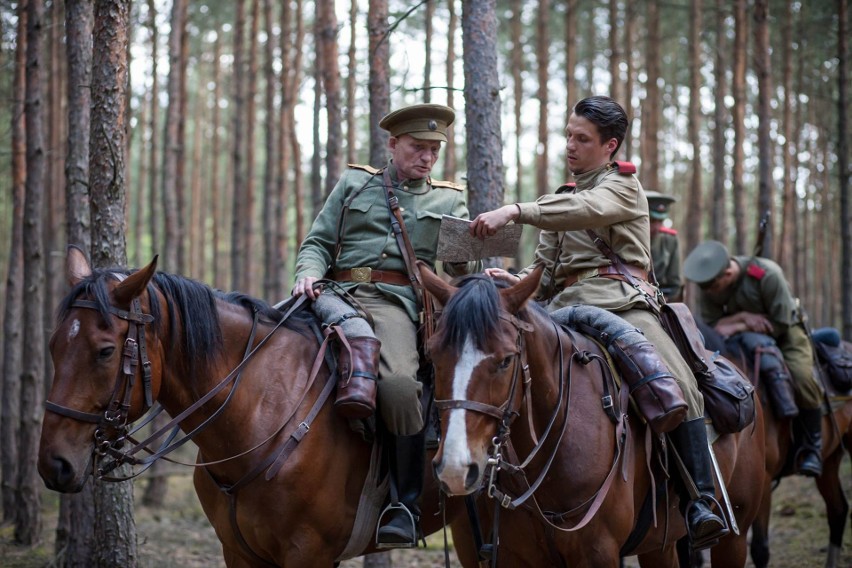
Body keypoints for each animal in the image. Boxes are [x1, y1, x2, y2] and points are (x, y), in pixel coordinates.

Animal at [36, 247, 480, 568]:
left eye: (105, 351)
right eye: (53, 345)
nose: (54, 464)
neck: (262, 413)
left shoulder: (309, 555)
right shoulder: (238, 551)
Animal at [420, 266, 764, 568]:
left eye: (506, 360)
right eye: (433, 355)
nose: (455, 468)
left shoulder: (597, 553)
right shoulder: (512, 557)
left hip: (734, 536)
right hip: (660, 544)